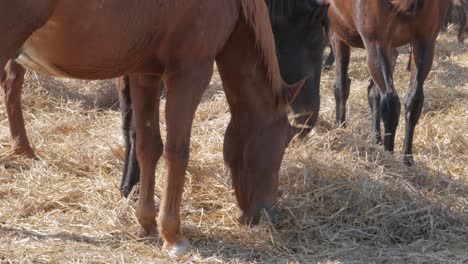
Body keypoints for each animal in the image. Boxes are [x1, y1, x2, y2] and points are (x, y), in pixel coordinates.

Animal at [0, 0, 308, 256]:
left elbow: (148, 147)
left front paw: (147, 224)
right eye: (285, 140)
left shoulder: (144, 74)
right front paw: (172, 236)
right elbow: (177, 151)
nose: (268, 214)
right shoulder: (189, 73)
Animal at [328, 0, 452, 165]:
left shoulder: (338, 34)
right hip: (413, 44)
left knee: (389, 99)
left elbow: (342, 86)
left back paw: (389, 152)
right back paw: (401, 154)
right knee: (407, 99)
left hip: (377, 43)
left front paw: (341, 129)